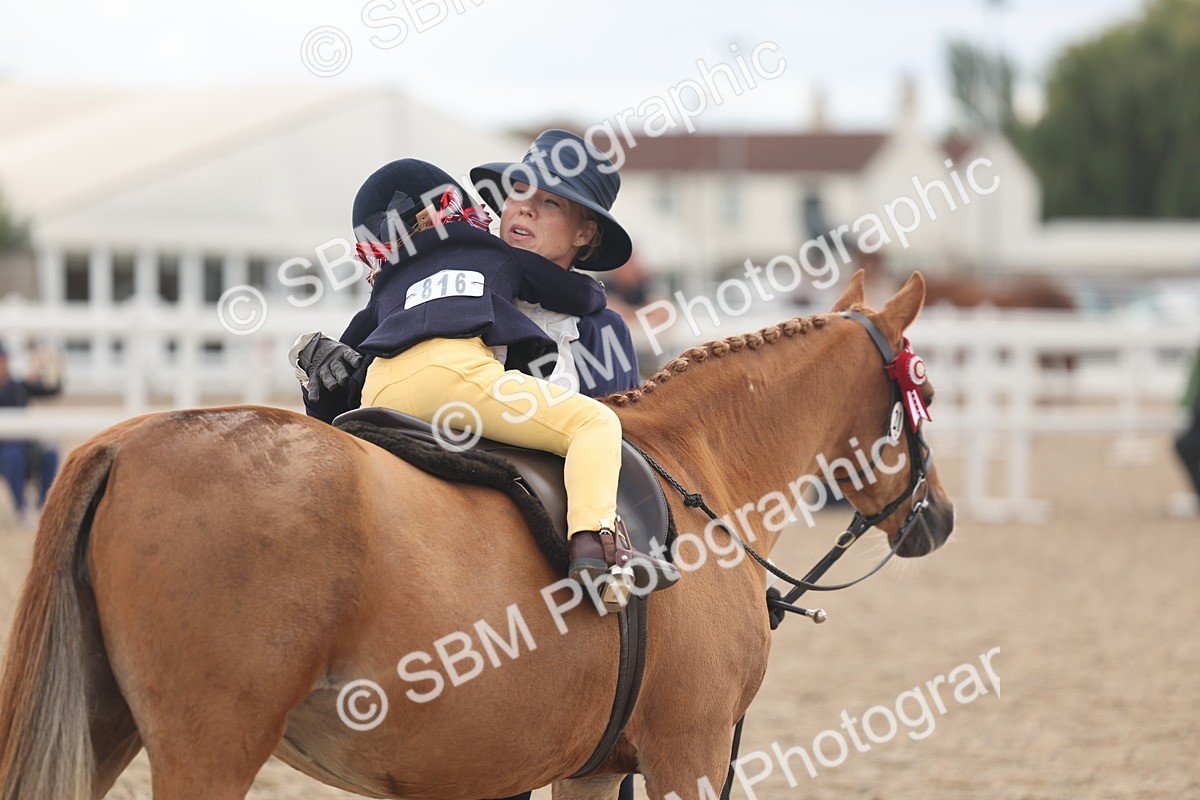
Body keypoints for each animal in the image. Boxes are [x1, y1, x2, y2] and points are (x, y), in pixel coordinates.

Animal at [0, 270, 955, 800]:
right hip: (208, 751)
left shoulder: (591, 770)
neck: (694, 468)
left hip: (103, 726)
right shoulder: (689, 751)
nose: (938, 516)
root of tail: (128, 442)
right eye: (929, 393)